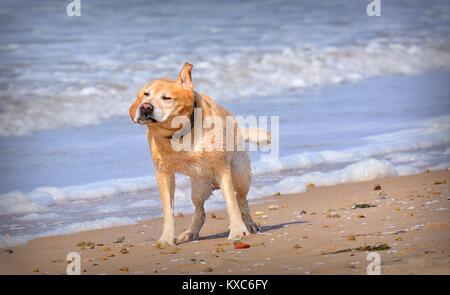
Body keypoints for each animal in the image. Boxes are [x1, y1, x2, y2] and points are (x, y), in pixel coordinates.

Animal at [128, 63, 268, 247]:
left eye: (167, 98)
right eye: (146, 94)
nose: (145, 107)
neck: (179, 133)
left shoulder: (223, 169)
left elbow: (231, 203)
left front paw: (238, 230)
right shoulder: (163, 173)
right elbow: (168, 211)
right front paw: (166, 238)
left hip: (241, 176)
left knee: (242, 200)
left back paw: (250, 224)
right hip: (198, 189)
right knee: (200, 210)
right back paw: (190, 232)